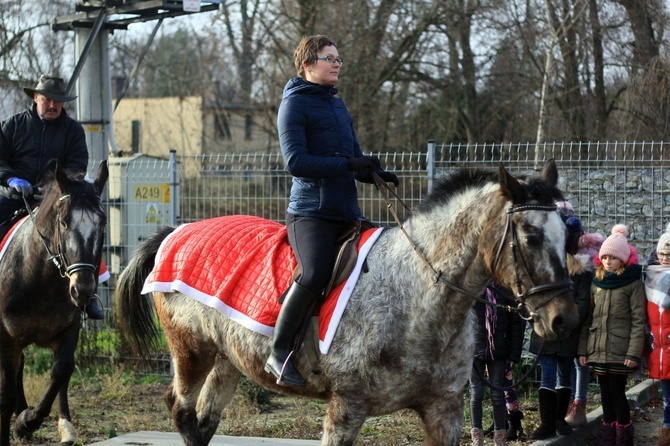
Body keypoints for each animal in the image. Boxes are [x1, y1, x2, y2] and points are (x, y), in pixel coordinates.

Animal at [0, 161, 107, 446]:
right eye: (63, 222)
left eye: (102, 224)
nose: (83, 290)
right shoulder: (7, 339)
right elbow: (6, 393)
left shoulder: (69, 330)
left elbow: (62, 370)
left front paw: (28, 421)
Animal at [114, 161, 576, 446]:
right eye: (531, 237)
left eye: (567, 236)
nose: (563, 321)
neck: (417, 297)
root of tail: (175, 232)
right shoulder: (346, 409)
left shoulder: (444, 411)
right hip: (191, 351)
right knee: (182, 411)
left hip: (228, 359)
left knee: (204, 421)